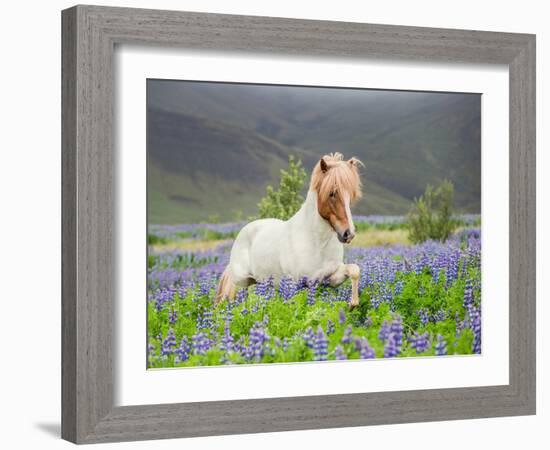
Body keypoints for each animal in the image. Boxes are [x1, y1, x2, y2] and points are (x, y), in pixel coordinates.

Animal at [218, 153, 364, 308]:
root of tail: (244, 231)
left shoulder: (330, 278)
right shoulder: (294, 284)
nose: (348, 233)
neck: (317, 244)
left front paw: (352, 304)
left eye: (351, 195)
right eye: (332, 193)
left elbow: (354, 270)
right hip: (242, 282)